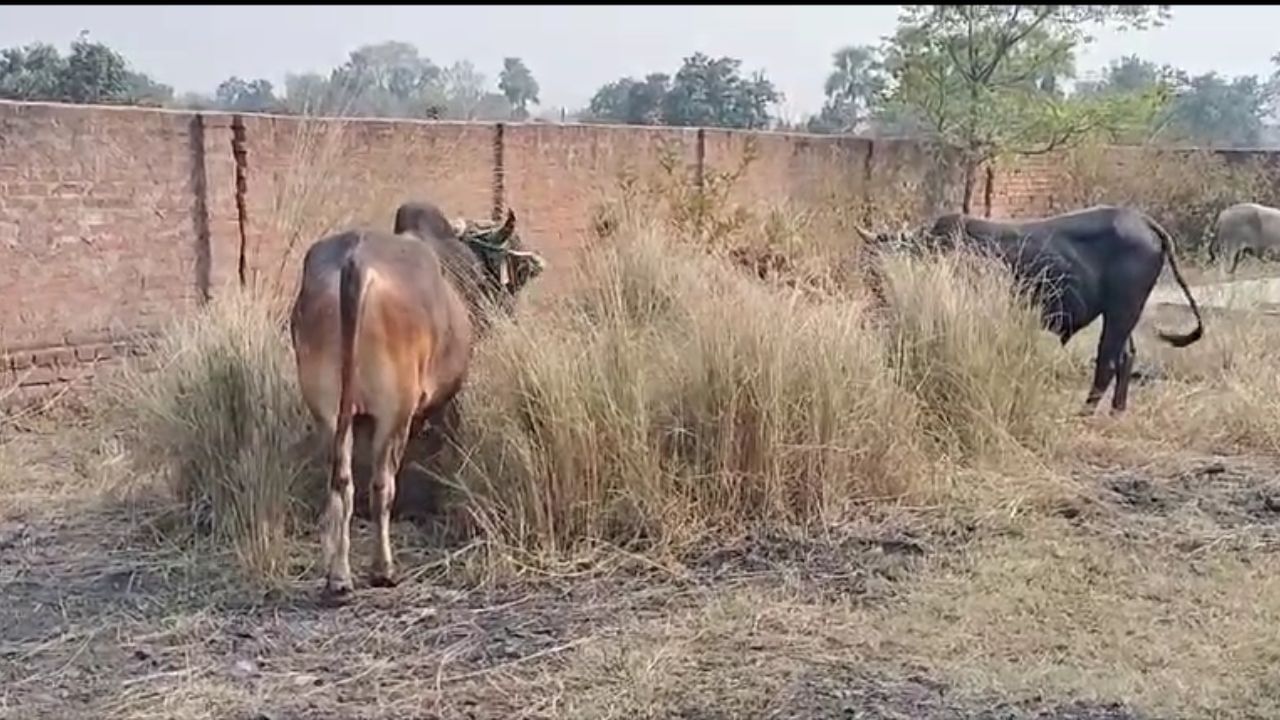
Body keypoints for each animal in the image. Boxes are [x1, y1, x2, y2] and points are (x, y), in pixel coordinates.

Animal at [290, 198, 545, 597]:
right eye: (517, 271)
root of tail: (355, 264)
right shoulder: (447, 400)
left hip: (328, 415)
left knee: (340, 482)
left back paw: (338, 575)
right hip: (393, 414)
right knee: (382, 484)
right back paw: (383, 569)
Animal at [855, 204, 1203, 412]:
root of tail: (1143, 221)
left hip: (1122, 310)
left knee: (1107, 359)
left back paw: (1086, 411)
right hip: (1122, 314)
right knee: (1126, 355)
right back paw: (1117, 410)